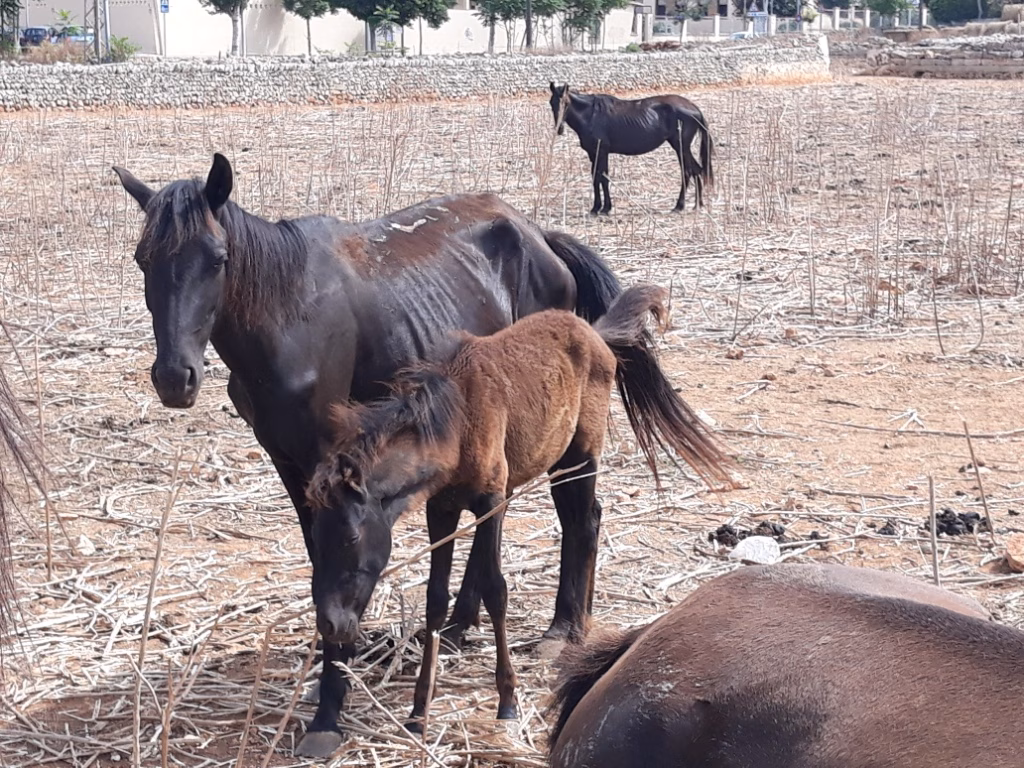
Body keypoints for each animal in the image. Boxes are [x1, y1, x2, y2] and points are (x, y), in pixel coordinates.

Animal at [305, 283, 685, 730]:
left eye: (350, 537)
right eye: (316, 538)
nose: (330, 625)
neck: (457, 420)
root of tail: (594, 332)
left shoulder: (492, 501)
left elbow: (496, 591)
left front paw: (507, 699)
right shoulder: (442, 510)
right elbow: (436, 598)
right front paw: (418, 711)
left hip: (581, 453)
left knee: (584, 521)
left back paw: (573, 629)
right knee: (588, 516)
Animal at [548, 83, 714, 216]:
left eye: (566, 102)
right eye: (551, 103)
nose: (559, 129)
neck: (591, 115)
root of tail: (694, 108)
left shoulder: (601, 152)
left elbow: (603, 178)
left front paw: (604, 208)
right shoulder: (592, 153)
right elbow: (596, 178)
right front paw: (597, 208)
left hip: (681, 147)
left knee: (689, 171)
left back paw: (683, 206)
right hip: (681, 148)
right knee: (694, 171)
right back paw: (694, 205)